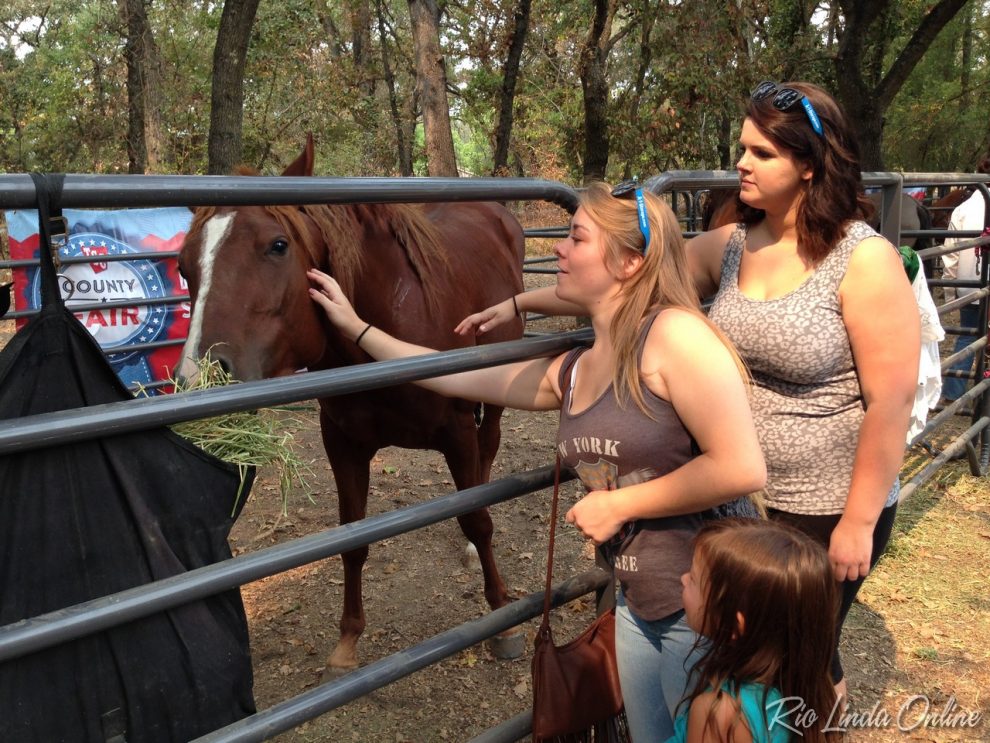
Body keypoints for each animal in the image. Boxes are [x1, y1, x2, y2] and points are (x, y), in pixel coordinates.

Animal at [176, 136, 527, 671]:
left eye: (278, 245)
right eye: (182, 265)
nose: (201, 377)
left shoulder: (458, 431)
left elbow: (477, 518)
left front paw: (502, 618)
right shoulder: (342, 444)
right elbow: (352, 538)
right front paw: (348, 640)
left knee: (487, 457)